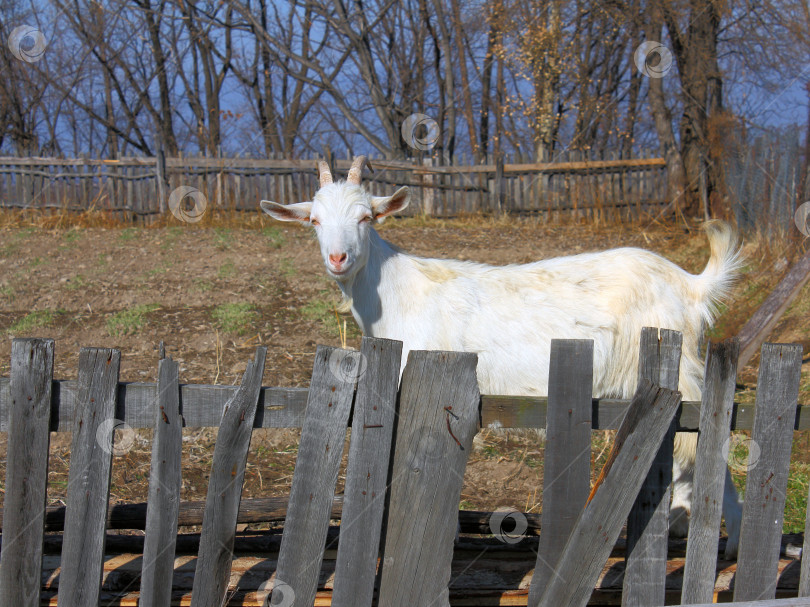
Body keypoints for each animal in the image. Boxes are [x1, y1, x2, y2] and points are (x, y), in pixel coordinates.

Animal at [262, 156, 740, 556]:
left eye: (365, 217)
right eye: (314, 220)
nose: (337, 258)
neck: (397, 294)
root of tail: (690, 284)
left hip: (681, 369)